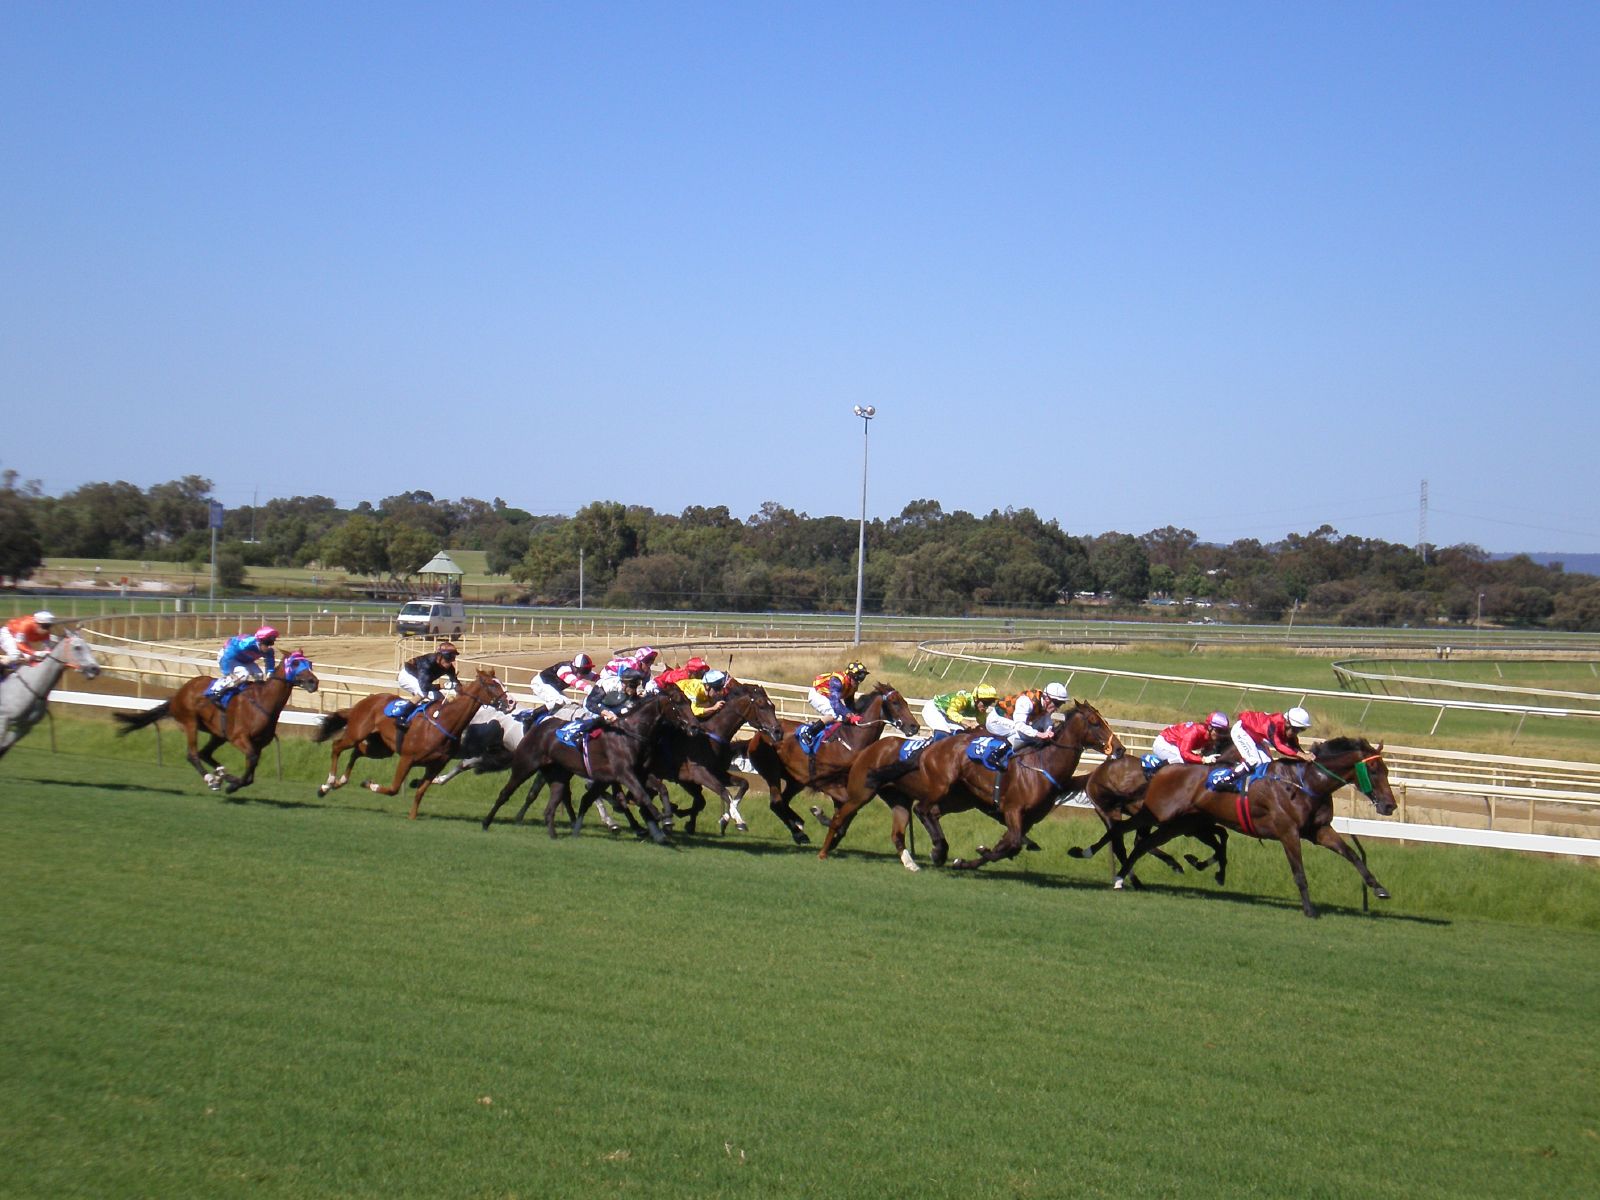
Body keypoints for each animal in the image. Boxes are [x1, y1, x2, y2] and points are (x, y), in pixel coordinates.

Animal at [0, 630, 102, 761]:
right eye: (77, 647)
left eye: (89, 647)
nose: (95, 669)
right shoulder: (3, 718)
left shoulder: (24, 726)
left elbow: (4, 747)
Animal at [116, 649, 318, 800]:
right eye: (295, 663)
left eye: (309, 664)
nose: (313, 681)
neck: (263, 702)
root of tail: (178, 694)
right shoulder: (239, 738)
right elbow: (251, 761)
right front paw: (233, 786)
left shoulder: (259, 744)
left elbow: (251, 771)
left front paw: (233, 781)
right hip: (191, 722)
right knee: (193, 754)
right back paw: (212, 779)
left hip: (219, 734)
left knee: (204, 753)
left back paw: (222, 774)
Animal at [315, 672, 508, 825]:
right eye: (492, 684)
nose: (510, 702)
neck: (444, 723)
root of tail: (365, 701)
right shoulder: (407, 759)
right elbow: (393, 789)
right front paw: (369, 783)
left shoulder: (435, 766)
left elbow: (420, 792)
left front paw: (412, 816)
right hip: (357, 733)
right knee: (337, 747)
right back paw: (328, 784)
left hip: (381, 749)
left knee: (357, 752)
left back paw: (338, 782)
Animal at [736, 681, 915, 851]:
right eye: (895, 702)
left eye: (905, 702)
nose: (915, 726)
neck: (850, 740)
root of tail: (757, 735)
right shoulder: (824, 782)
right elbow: (844, 809)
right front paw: (821, 816)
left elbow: (848, 811)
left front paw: (833, 837)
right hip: (772, 772)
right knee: (776, 802)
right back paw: (799, 831)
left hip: (796, 780)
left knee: (783, 802)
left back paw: (798, 825)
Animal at [1113, 732, 1401, 921]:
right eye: (1374, 770)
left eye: (1387, 770)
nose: (1390, 806)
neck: (1306, 783)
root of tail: (1161, 770)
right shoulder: (1288, 832)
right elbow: (1299, 872)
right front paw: (1309, 910)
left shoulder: (1319, 831)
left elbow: (1352, 854)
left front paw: (1379, 888)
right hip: (1157, 814)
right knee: (1127, 833)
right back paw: (1120, 876)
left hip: (1180, 822)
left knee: (1145, 843)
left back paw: (1134, 874)